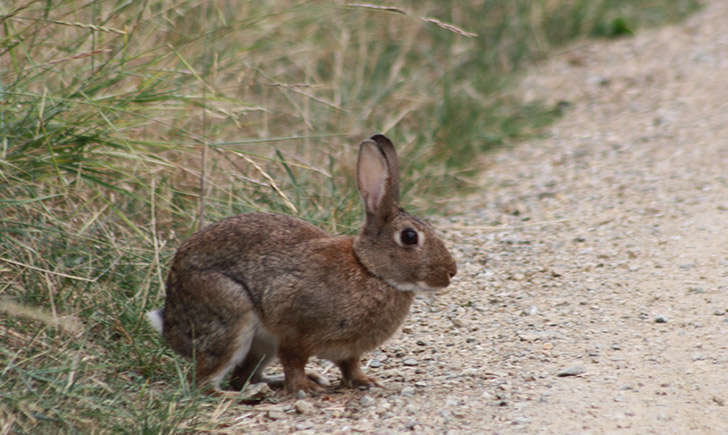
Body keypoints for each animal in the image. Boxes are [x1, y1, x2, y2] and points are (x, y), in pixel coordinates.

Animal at [145, 134, 458, 396]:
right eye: (409, 237)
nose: (450, 273)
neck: (370, 269)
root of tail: (171, 326)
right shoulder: (292, 328)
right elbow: (294, 361)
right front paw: (305, 388)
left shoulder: (349, 350)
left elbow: (350, 365)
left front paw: (366, 382)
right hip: (230, 316)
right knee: (205, 383)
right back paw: (245, 396)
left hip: (259, 346)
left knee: (244, 376)